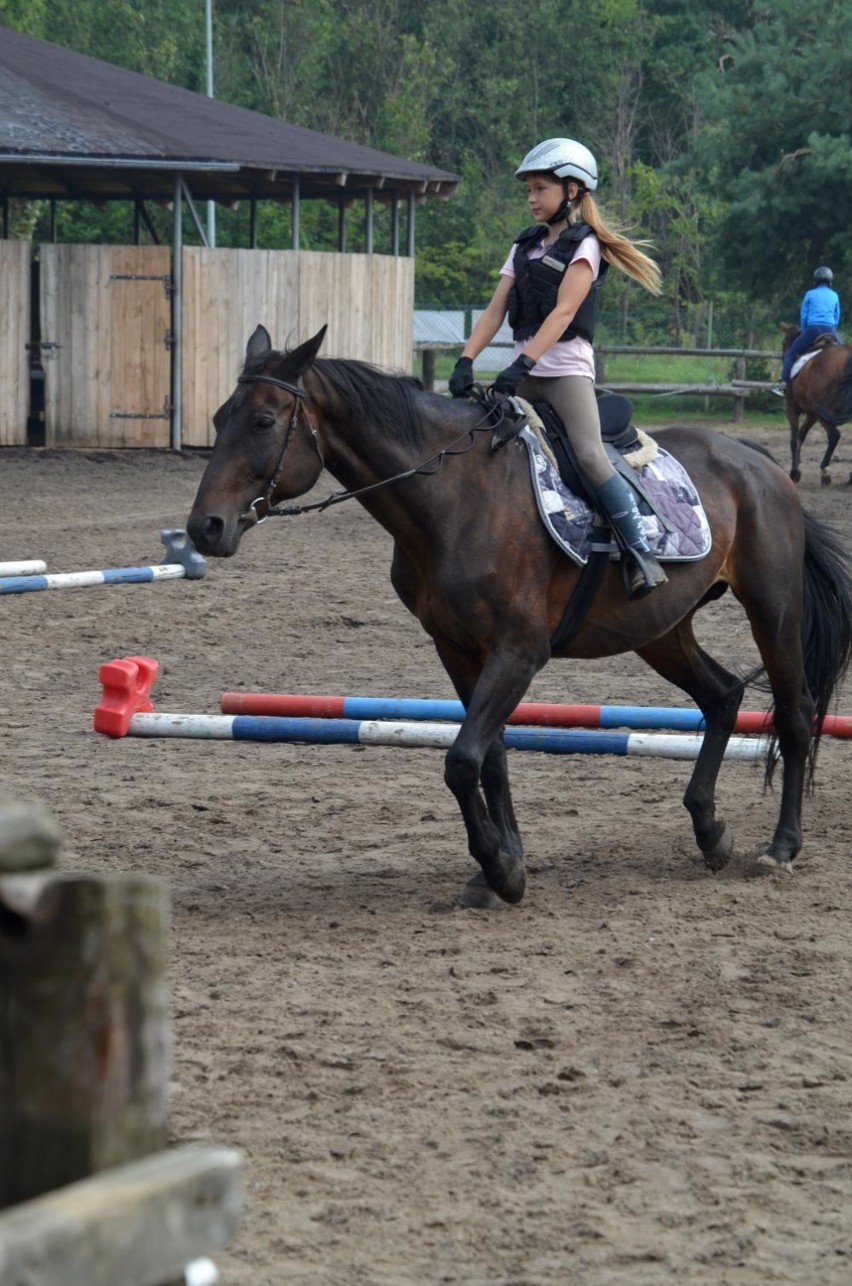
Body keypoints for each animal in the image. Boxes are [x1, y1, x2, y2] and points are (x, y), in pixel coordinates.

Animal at [781, 321, 852, 483]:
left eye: (783, 343)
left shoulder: (791, 407)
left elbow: (794, 439)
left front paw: (794, 472)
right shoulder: (812, 414)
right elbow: (801, 434)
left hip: (824, 411)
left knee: (834, 435)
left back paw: (825, 471)